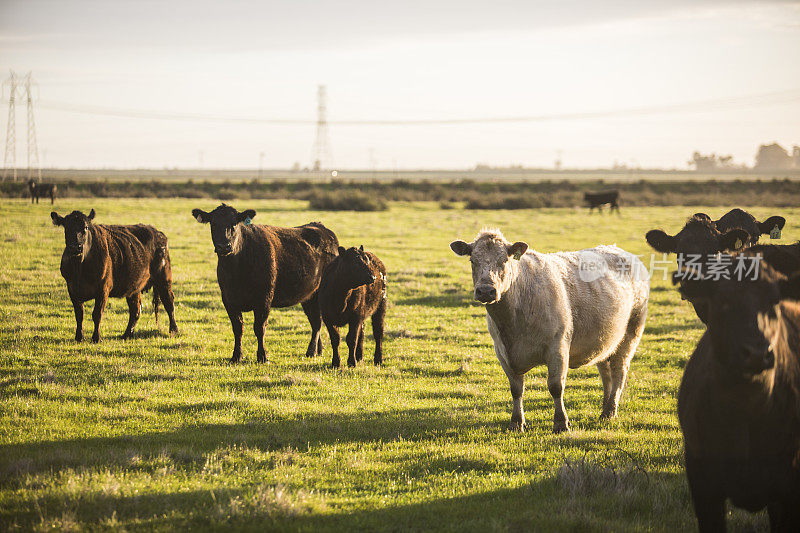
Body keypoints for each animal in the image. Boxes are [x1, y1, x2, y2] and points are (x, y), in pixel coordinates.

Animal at [52, 208, 180, 340]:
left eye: (85, 228)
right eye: (66, 228)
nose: (75, 247)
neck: (80, 267)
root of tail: (157, 232)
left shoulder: (103, 289)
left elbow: (97, 314)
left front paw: (96, 338)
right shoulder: (72, 289)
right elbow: (79, 314)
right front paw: (79, 337)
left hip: (164, 278)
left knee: (169, 302)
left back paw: (173, 330)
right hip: (134, 287)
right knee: (136, 309)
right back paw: (127, 334)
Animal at [192, 203, 340, 362]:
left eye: (234, 224)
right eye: (213, 224)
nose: (224, 246)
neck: (236, 270)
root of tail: (320, 226)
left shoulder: (264, 298)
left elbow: (259, 328)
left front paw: (262, 356)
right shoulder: (228, 299)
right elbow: (238, 328)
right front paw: (236, 356)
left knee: (317, 322)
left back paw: (311, 351)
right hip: (309, 296)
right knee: (316, 321)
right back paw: (318, 350)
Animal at [450, 229, 648, 432]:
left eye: (504, 260)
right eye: (472, 260)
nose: (485, 291)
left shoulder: (557, 348)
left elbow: (555, 386)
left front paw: (561, 423)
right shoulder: (502, 352)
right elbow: (516, 389)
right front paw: (517, 422)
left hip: (631, 333)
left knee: (619, 371)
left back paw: (610, 411)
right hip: (604, 340)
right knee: (605, 372)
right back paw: (605, 409)